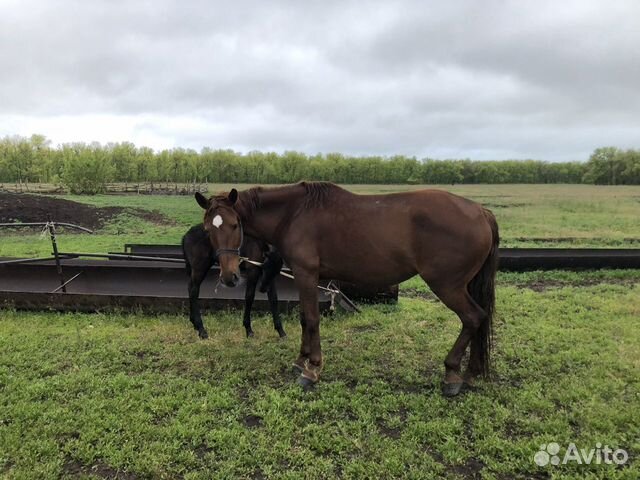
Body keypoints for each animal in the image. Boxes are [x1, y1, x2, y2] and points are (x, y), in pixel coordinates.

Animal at [195, 182, 500, 396]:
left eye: (235, 224)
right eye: (208, 228)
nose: (230, 277)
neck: (293, 214)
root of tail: (480, 211)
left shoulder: (307, 274)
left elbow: (312, 319)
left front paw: (312, 369)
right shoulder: (303, 277)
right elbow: (304, 319)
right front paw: (301, 359)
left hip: (447, 285)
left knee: (473, 317)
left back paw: (452, 374)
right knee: (478, 319)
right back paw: (470, 372)